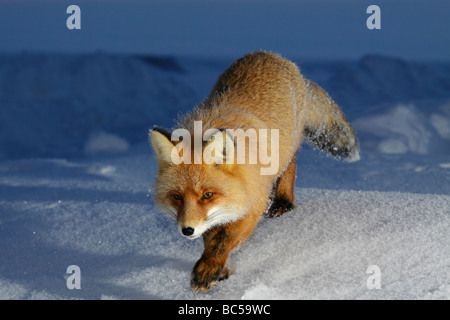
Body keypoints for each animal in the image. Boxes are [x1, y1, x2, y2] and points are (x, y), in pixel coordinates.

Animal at [150, 52, 358, 292]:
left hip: (288, 146)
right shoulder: (218, 214)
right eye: (176, 196)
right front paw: (220, 270)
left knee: (290, 166)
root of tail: (270, 55)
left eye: (207, 195)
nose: (187, 230)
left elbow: (224, 240)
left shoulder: (254, 202)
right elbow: (211, 238)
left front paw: (209, 268)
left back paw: (284, 201)